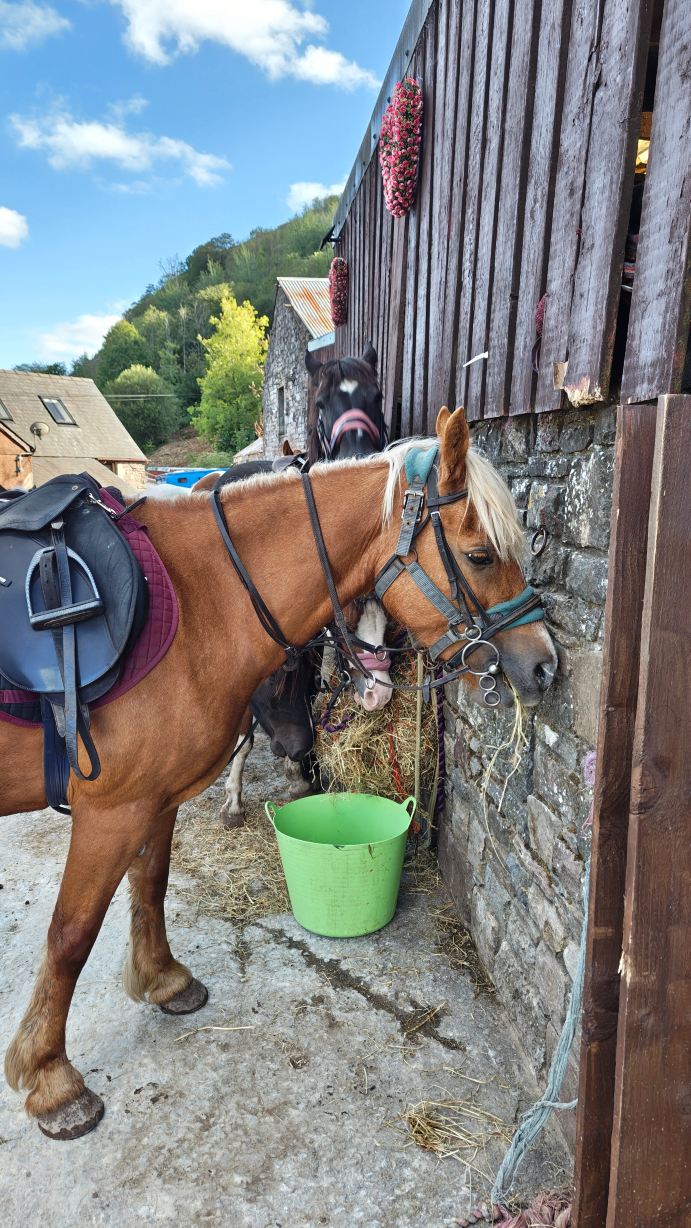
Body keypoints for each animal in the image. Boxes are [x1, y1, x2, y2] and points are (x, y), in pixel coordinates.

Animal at [0, 407, 557, 1139]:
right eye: (480, 555)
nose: (545, 665)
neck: (197, 596)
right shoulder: (111, 810)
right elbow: (70, 934)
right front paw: (50, 1078)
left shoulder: (157, 800)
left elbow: (150, 888)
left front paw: (165, 981)